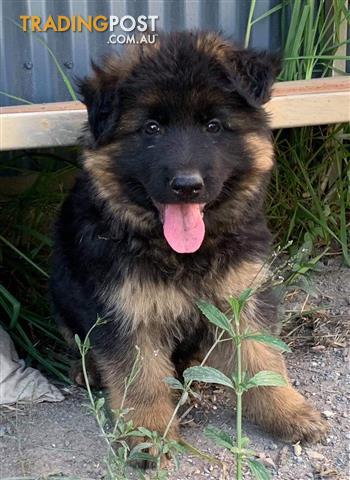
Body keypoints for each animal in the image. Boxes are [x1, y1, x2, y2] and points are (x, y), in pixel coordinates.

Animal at [51, 31, 326, 452]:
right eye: (151, 128)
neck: (181, 254)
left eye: (213, 126)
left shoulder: (243, 295)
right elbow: (141, 378)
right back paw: (89, 371)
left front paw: (287, 411)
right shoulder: (127, 311)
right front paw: (148, 434)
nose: (186, 185)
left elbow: (261, 358)